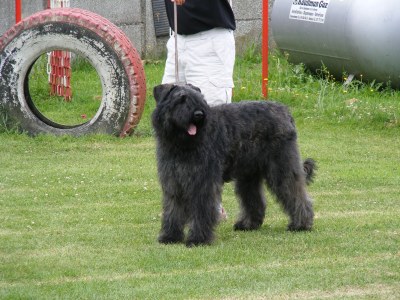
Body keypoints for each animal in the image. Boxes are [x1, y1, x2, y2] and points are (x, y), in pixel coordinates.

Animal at [152, 82, 314, 246]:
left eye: (200, 99)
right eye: (180, 99)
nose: (198, 114)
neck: (181, 145)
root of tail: (285, 111)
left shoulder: (203, 183)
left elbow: (201, 210)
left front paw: (198, 239)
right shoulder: (173, 182)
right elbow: (173, 210)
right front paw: (170, 236)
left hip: (281, 168)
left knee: (295, 192)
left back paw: (301, 224)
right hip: (249, 175)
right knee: (254, 199)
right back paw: (248, 224)